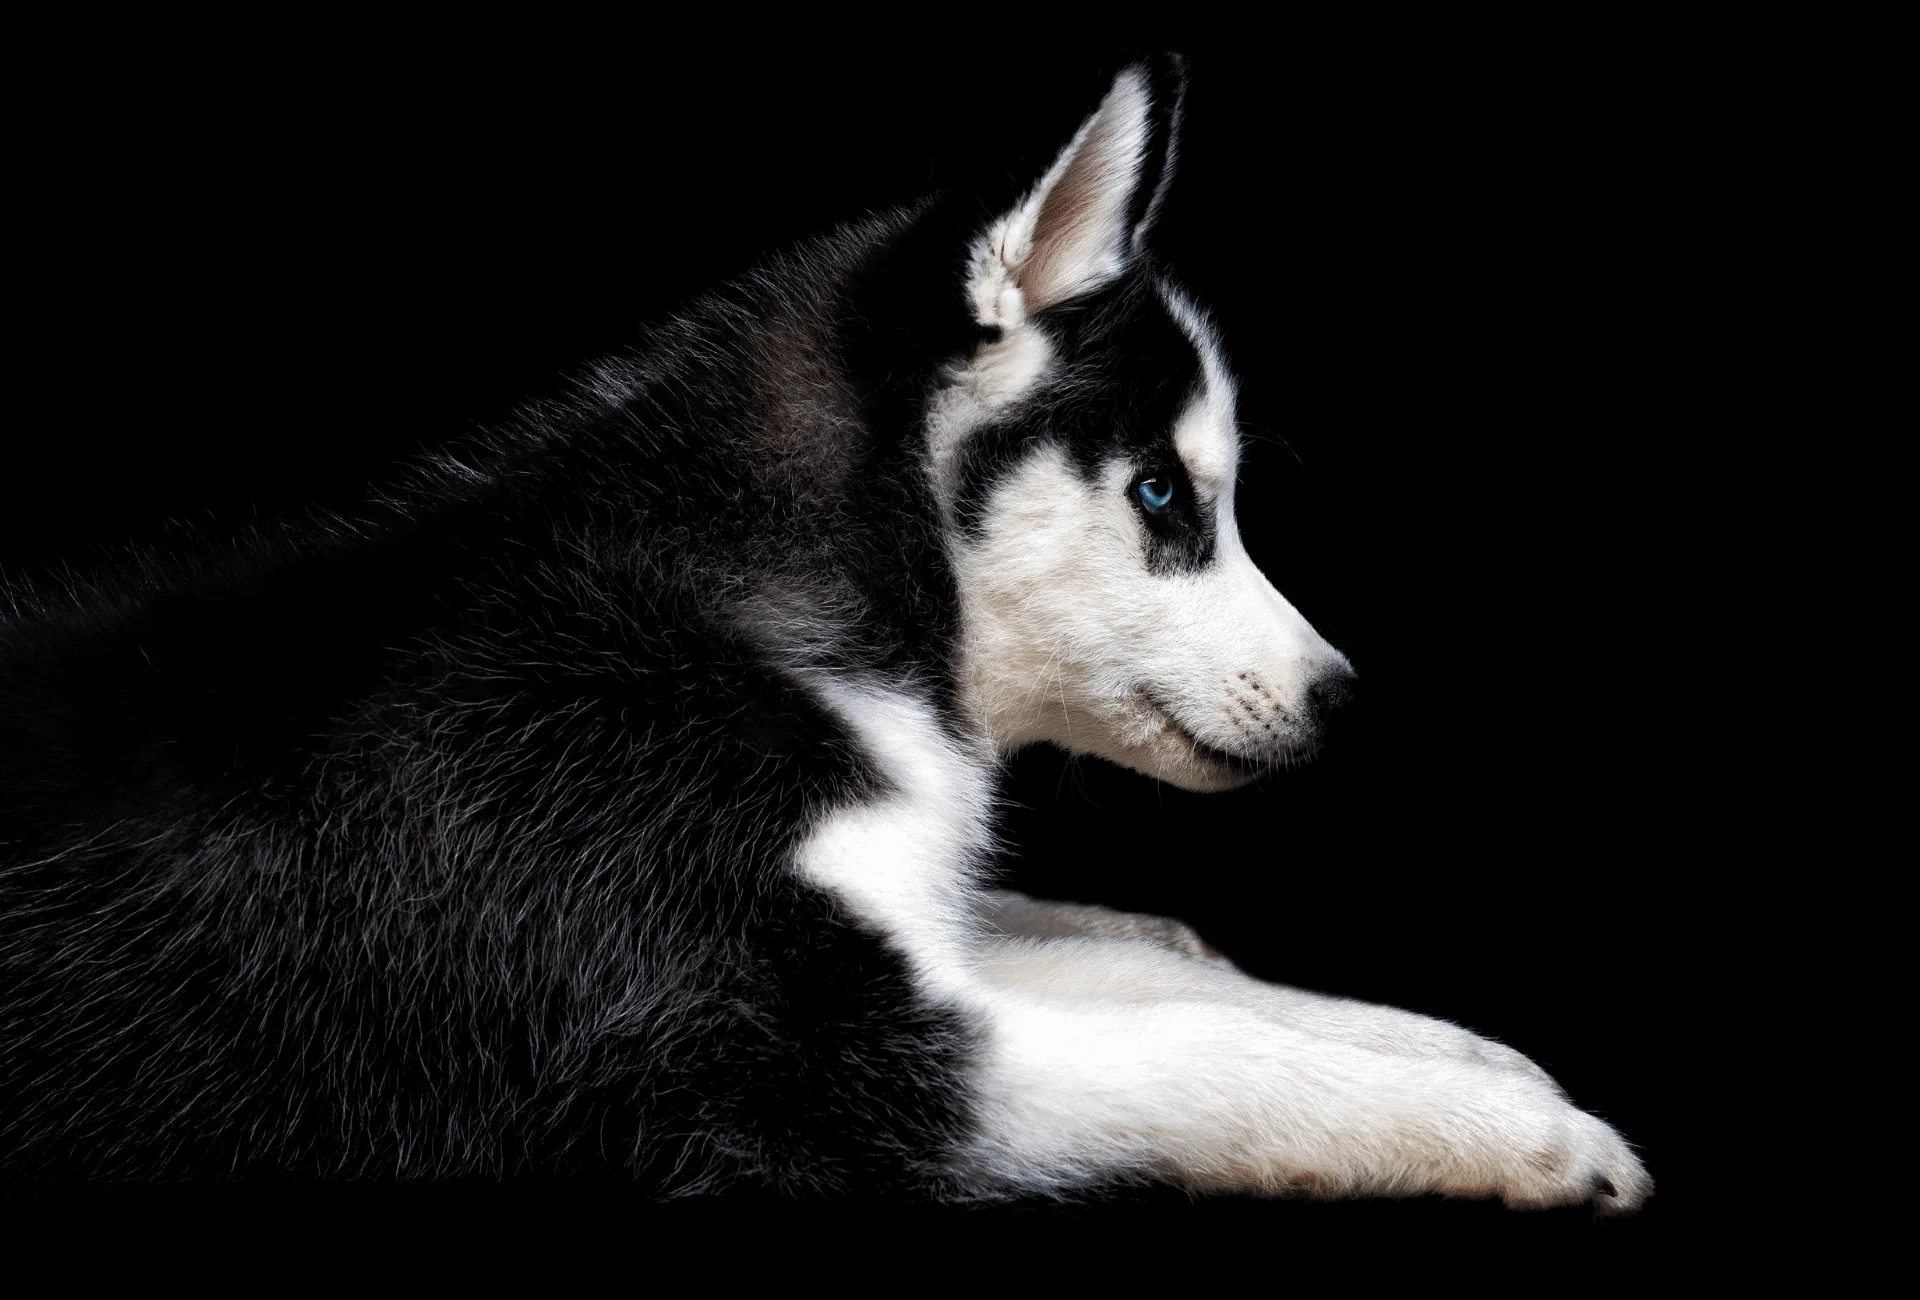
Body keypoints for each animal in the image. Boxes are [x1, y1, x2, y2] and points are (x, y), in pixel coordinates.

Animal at [0, 55, 1651, 1213]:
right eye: (1165, 493)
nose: (1343, 697)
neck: (772, 617)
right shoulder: (775, 1048)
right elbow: (1198, 1049)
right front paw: (1512, 1128)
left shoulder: (897, 934)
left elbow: (1158, 956)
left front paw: (1451, 1045)